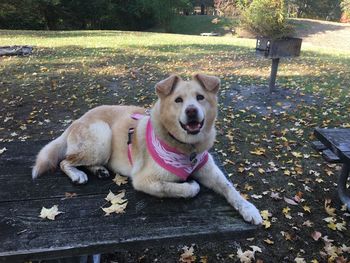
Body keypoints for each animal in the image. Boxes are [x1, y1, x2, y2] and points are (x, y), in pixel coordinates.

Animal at [32, 73, 262, 225]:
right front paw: (190, 185)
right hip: (102, 136)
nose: (191, 111)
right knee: (65, 161)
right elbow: (182, 188)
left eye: (200, 98)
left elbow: (229, 187)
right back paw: (78, 174)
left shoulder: (209, 170)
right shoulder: (145, 180)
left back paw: (99, 170)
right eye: (178, 100)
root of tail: (76, 120)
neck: (186, 147)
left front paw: (249, 208)